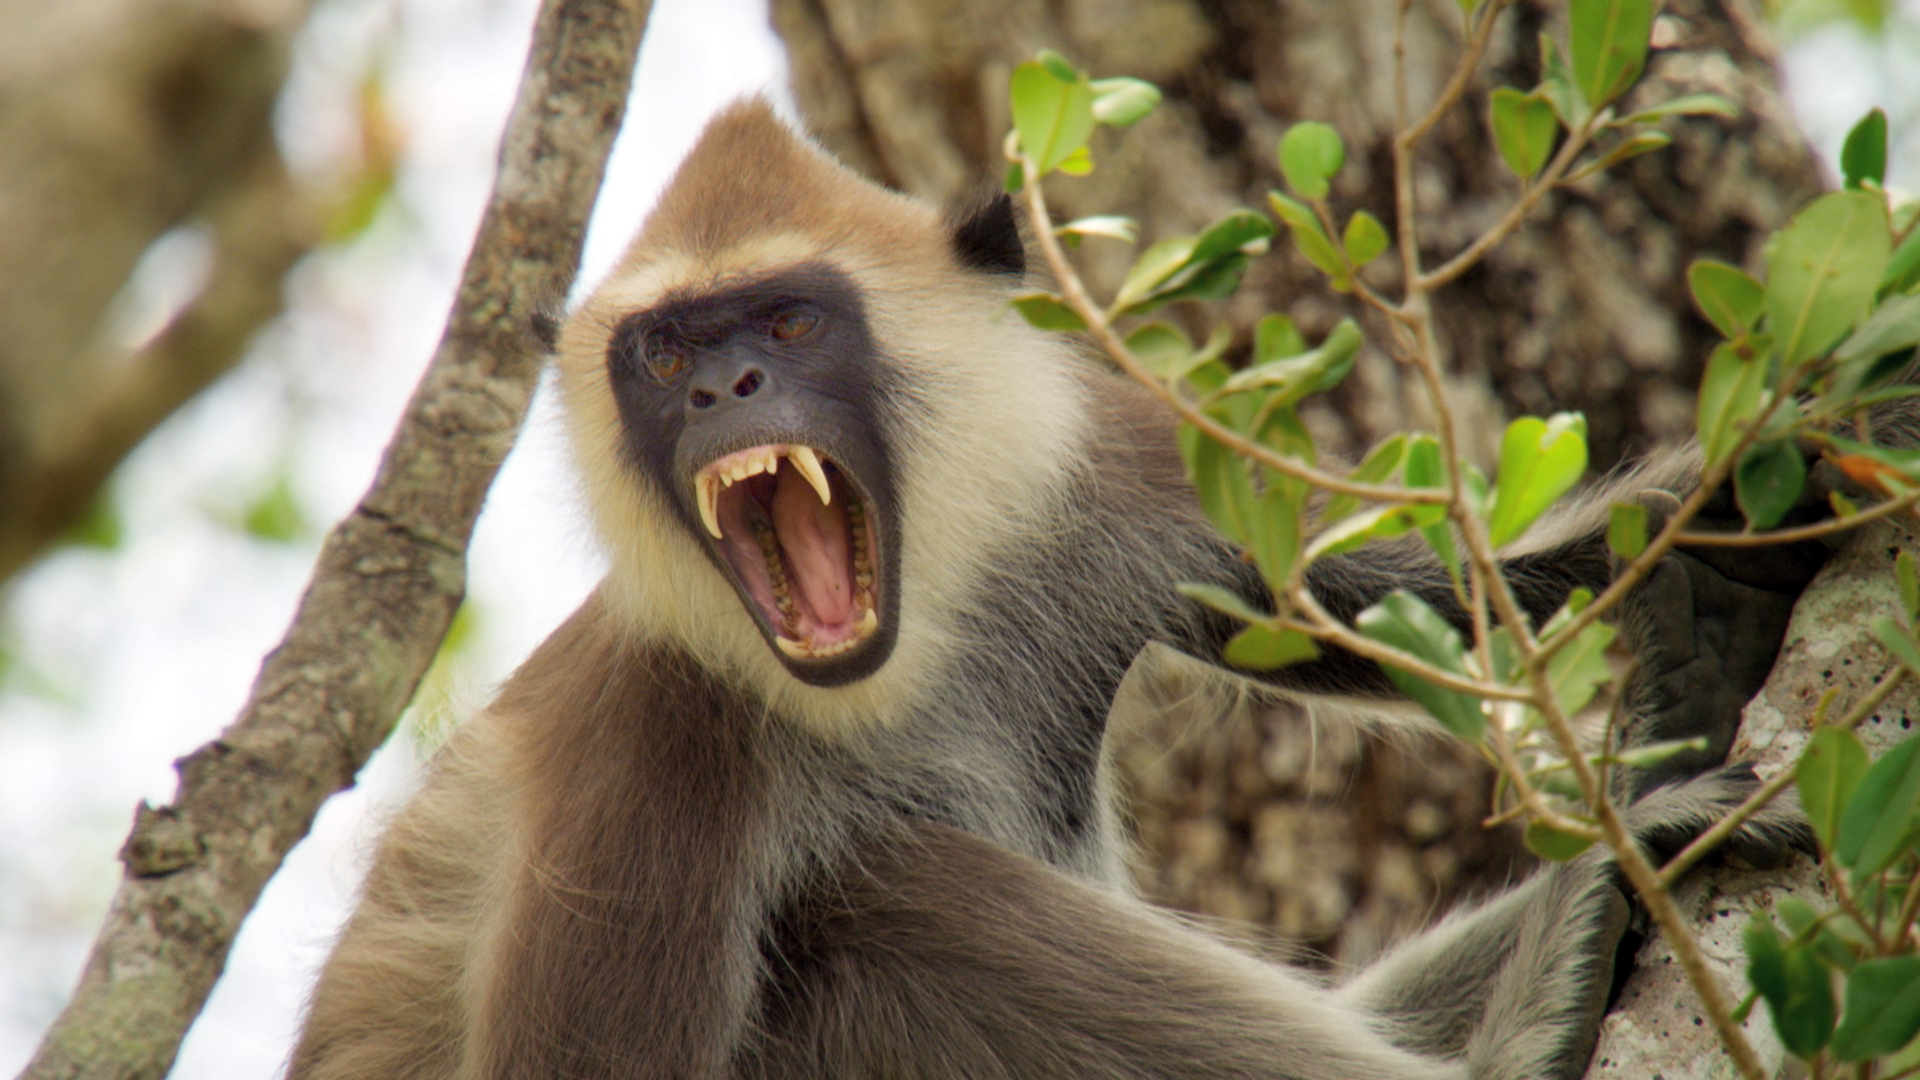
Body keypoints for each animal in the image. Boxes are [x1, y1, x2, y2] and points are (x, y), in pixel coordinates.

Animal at [288, 100, 1827, 1076]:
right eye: (666, 356)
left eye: (788, 322)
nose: (728, 387)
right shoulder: (653, 752)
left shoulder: (1103, 463)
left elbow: (1378, 609)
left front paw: (1774, 490)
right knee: (884, 896)